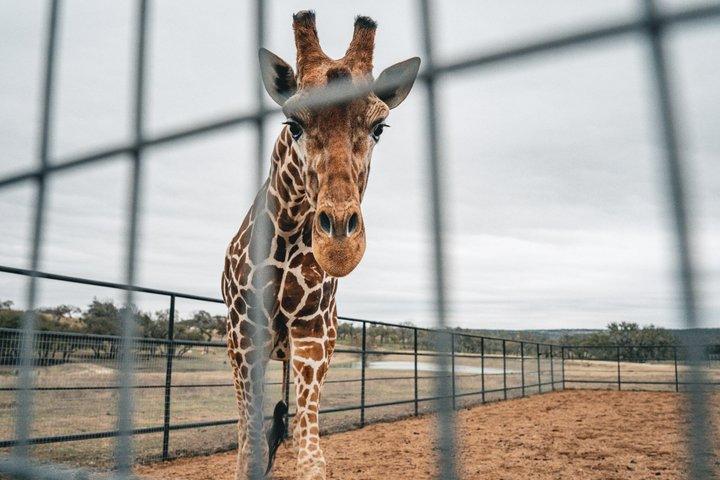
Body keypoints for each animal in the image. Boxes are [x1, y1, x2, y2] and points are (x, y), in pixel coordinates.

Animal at [221, 11, 420, 480]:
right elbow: (249, 449)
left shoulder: (314, 334)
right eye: (293, 124)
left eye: (379, 127)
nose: (340, 247)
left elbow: (311, 457)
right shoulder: (245, 333)